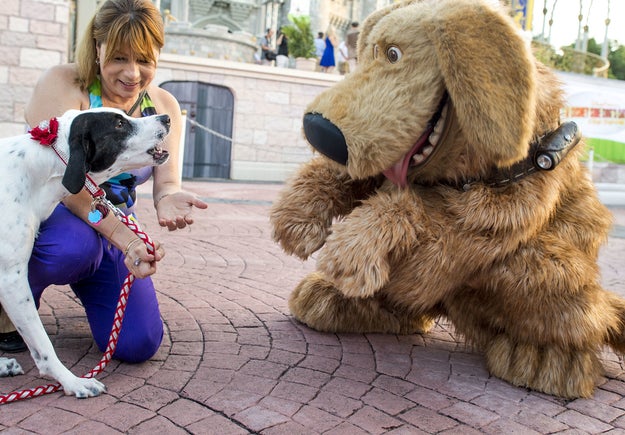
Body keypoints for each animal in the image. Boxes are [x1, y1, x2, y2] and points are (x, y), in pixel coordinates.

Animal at [270, 0, 624, 398]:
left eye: (393, 55)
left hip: (546, 269)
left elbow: (432, 215)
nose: (317, 129)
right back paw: (339, 301)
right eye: (368, 53)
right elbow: (355, 177)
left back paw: (545, 358)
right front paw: (297, 218)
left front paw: (352, 250)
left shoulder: (516, 198)